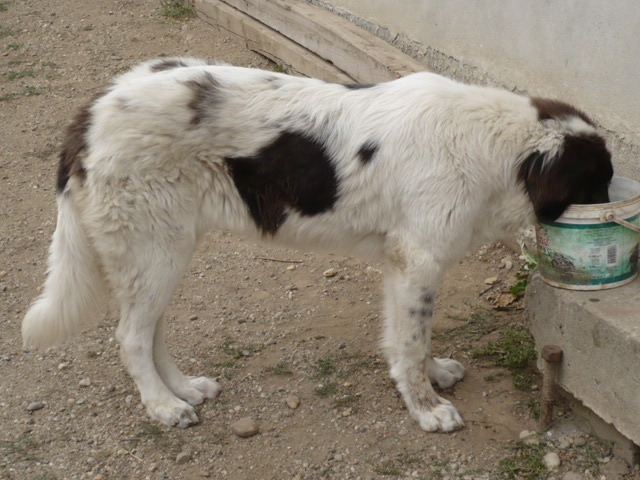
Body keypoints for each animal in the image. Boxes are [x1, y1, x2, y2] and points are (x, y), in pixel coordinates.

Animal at [22, 57, 612, 432]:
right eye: (597, 183)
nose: (614, 213)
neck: (492, 148)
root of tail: (91, 114)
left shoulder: (405, 267)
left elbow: (407, 337)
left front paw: (433, 376)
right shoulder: (418, 262)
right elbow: (411, 340)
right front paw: (426, 408)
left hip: (162, 250)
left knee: (150, 332)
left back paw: (183, 389)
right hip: (155, 248)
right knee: (130, 337)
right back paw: (163, 408)